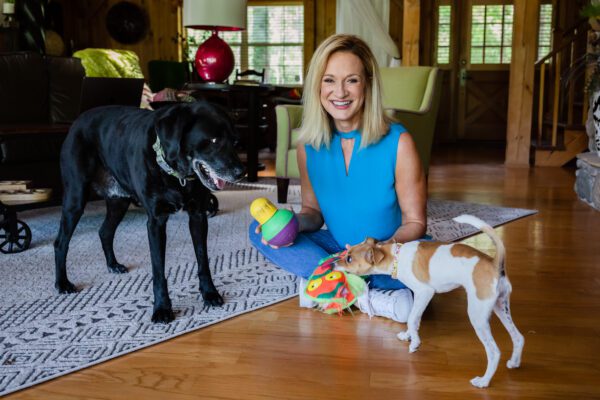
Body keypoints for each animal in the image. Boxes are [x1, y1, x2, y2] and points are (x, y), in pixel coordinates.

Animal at [54, 101, 246, 324]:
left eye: (235, 141)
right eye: (213, 140)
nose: (241, 173)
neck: (176, 175)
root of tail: (77, 120)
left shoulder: (198, 216)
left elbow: (203, 261)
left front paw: (210, 293)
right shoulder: (156, 222)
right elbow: (158, 270)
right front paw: (162, 308)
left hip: (119, 201)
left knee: (105, 232)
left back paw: (113, 264)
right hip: (75, 198)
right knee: (61, 242)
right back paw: (62, 283)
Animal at [336, 216, 524, 388]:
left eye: (349, 259)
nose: (334, 263)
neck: (396, 257)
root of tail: (495, 264)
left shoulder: (424, 292)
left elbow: (412, 318)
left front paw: (415, 343)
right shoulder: (421, 297)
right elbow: (414, 319)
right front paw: (409, 336)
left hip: (478, 316)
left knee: (494, 351)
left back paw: (484, 381)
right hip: (501, 308)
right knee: (518, 337)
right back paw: (514, 362)